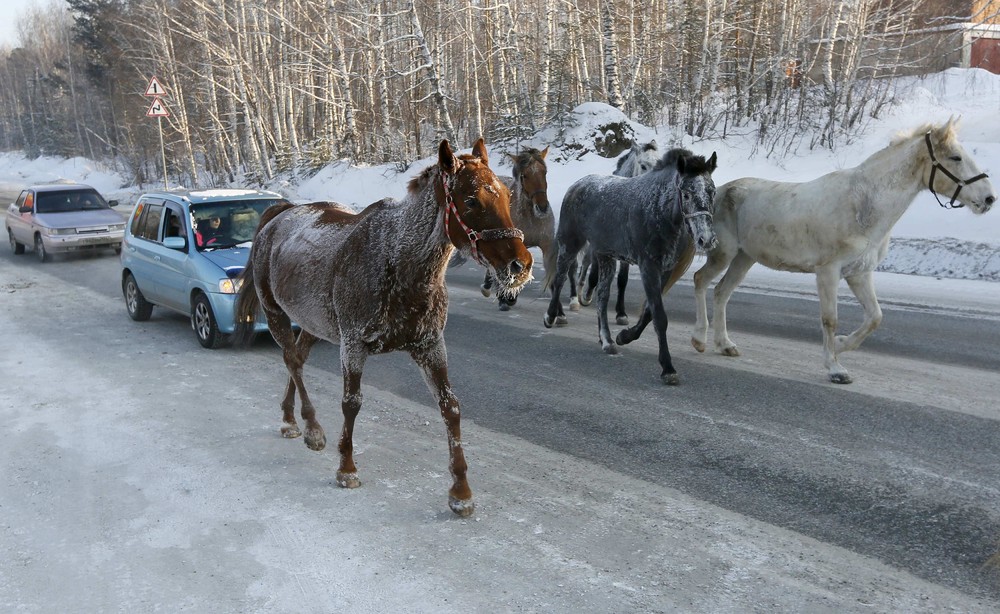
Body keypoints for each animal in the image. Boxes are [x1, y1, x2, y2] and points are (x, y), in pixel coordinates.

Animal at [234, 138, 532, 516]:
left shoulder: (430, 346)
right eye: (471, 200)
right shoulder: (353, 345)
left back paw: (291, 420)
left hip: (314, 325)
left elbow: (450, 408)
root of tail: (278, 216)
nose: (520, 265)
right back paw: (311, 428)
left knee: (296, 360)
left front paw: (461, 492)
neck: (397, 265)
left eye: (507, 197)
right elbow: (351, 403)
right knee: (291, 360)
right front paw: (346, 468)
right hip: (275, 314)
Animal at [480, 147, 560, 310]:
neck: (530, 218)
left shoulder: (548, 245)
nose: (542, 207)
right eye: (524, 175)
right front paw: (507, 298)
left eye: (544, 172)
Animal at [544, 148, 716, 384]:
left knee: (602, 296)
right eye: (687, 194)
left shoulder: (666, 269)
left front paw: (624, 336)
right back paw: (552, 316)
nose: (705, 240)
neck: (658, 208)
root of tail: (577, 184)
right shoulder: (648, 267)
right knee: (560, 277)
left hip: (605, 256)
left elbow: (649, 312)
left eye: (712, 192)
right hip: (570, 243)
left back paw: (607, 341)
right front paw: (668, 368)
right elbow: (659, 316)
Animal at [692, 119, 996, 384]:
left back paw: (725, 344)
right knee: (700, 280)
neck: (863, 206)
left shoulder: (859, 274)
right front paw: (835, 368)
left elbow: (874, 317)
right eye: (955, 157)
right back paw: (699, 339)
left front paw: (840, 346)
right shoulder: (828, 272)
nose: (989, 199)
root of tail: (720, 191)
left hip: (745, 259)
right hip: (724, 253)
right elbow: (830, 319)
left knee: (721, 292)